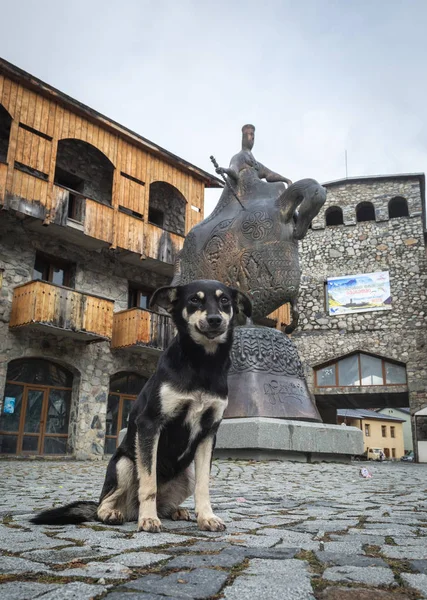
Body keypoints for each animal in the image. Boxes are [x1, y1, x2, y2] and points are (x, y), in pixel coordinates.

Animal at [34, 282, 254, 536]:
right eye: (194, 300)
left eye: (225, 300)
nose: (215, 320)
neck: (202, 363)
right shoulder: (150, 424)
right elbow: (149, 483)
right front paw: (148, 519)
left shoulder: (208, 433)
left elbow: (204, 485)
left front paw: (207, 517)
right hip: (124, 464)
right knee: (104, 502)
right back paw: (113, 513)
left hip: (186, 473)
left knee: (165, 502)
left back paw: (176, 511)